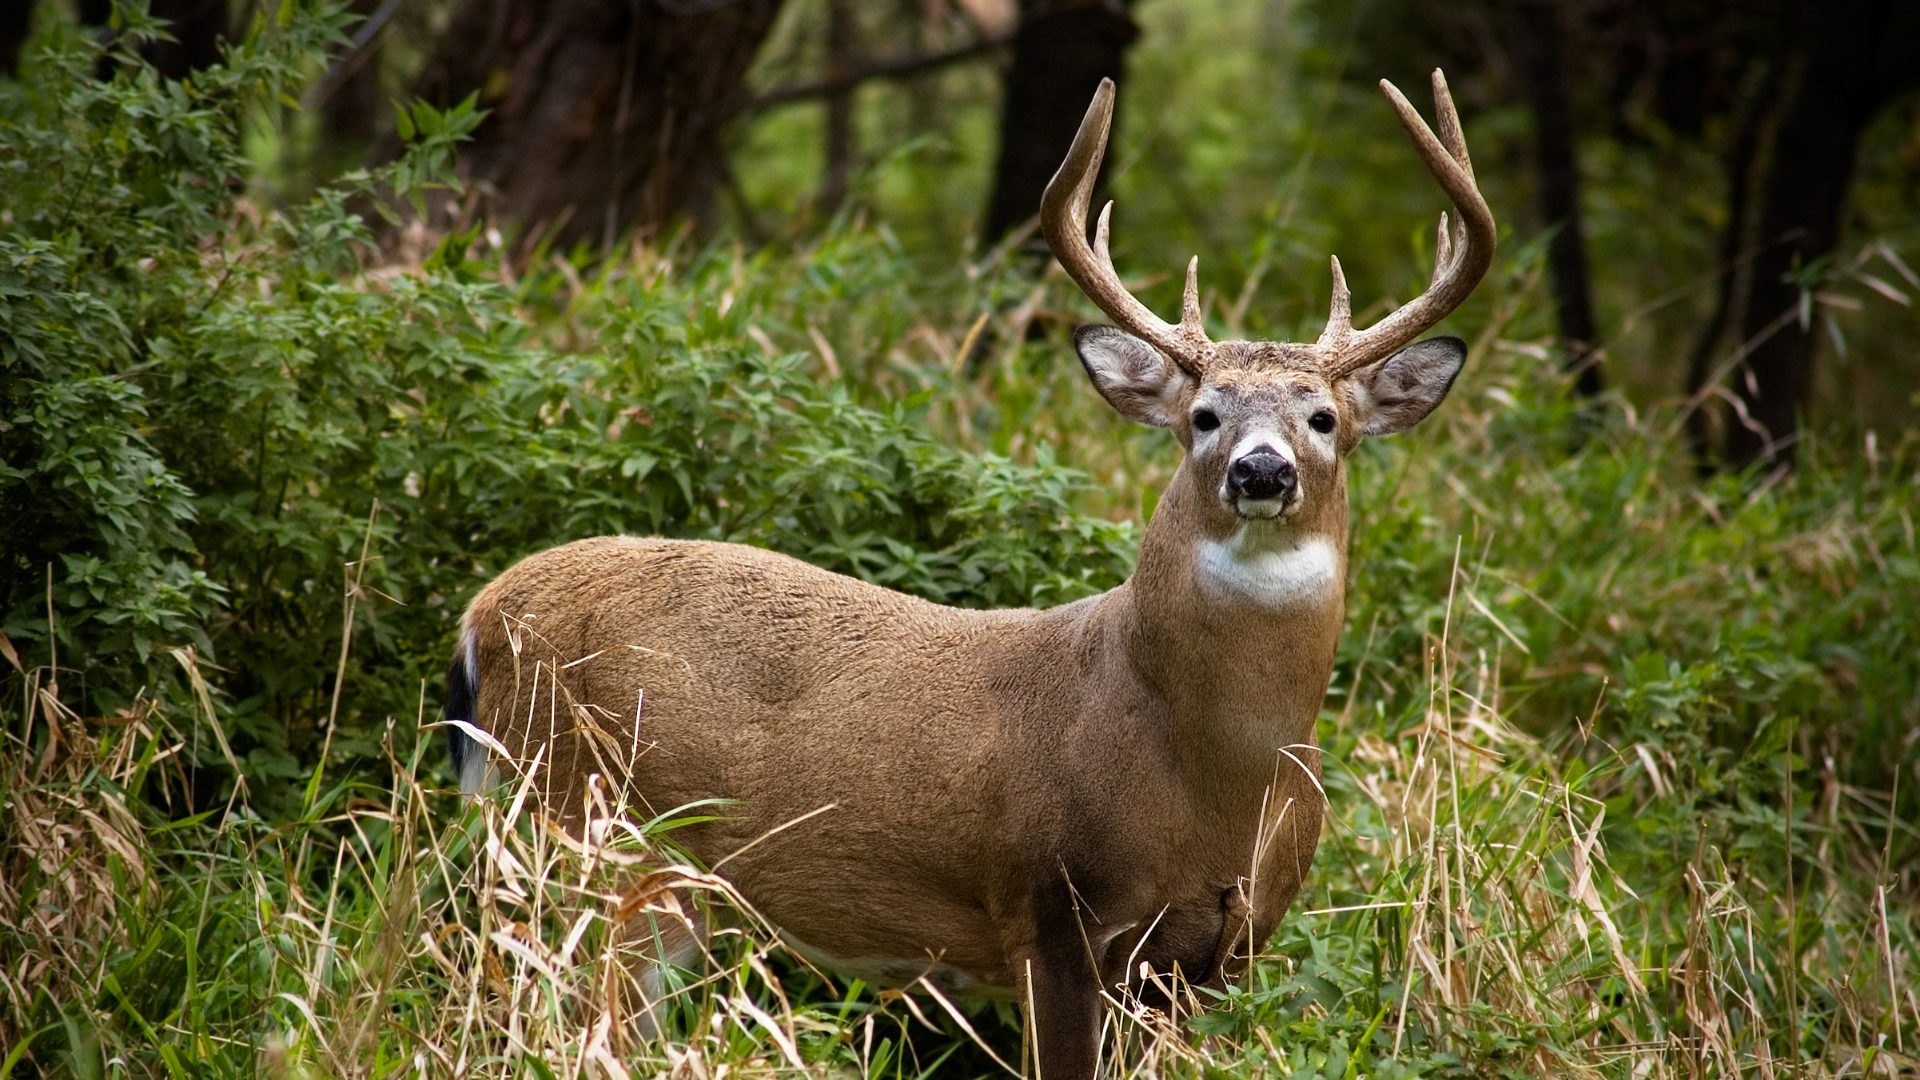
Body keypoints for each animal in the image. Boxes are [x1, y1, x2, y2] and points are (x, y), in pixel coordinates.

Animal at [442, 70, 1493, 1079]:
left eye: (1324, 418)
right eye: (1203, 414)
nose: (1261, 470)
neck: (1214, 770)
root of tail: (483, 613)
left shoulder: (1220, 954)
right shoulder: (1050, 910)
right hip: (590, 828)